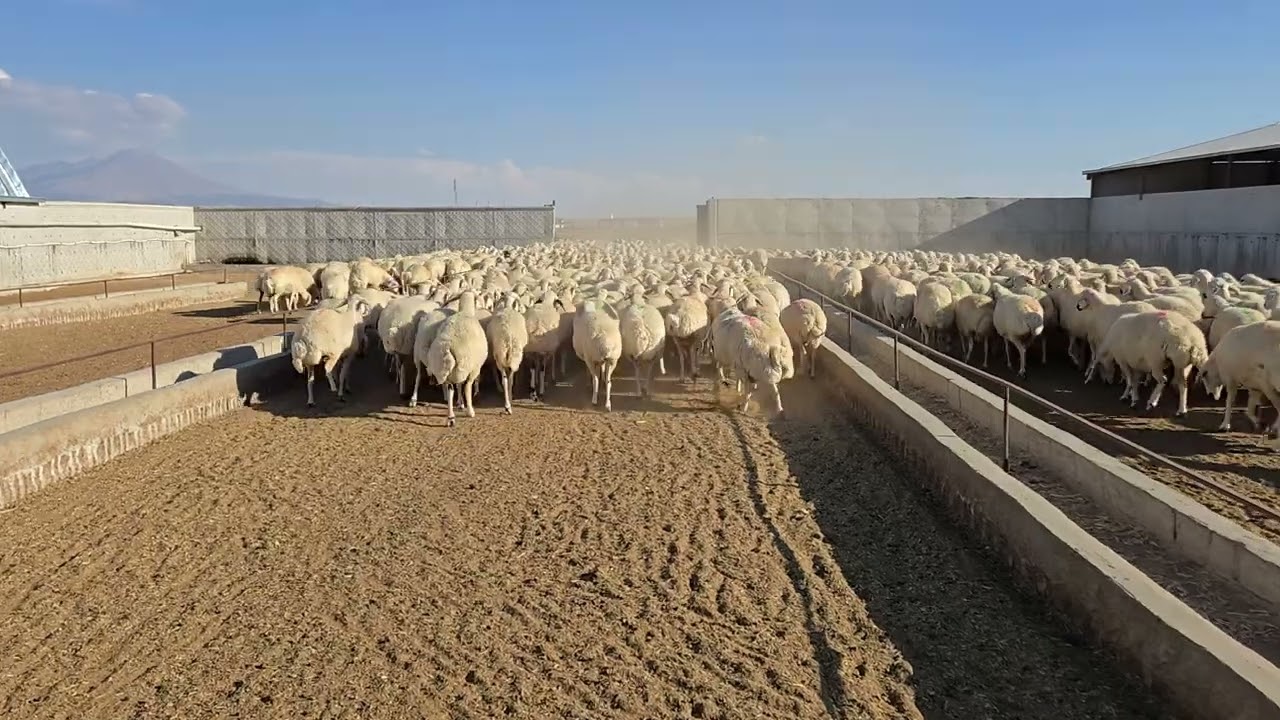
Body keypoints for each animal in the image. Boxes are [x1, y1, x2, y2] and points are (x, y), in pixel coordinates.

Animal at [425, 291, 489, 426]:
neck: (465, 311)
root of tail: (447, 346)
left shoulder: (458, 372)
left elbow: (459, 386)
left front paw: (460, 403)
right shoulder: (473, 369)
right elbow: (466, 387)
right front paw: (465, 406)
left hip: (448, 370)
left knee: (450, 390)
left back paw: (451, 417)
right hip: (466, 366)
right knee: (466, 387)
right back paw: (470, 412)